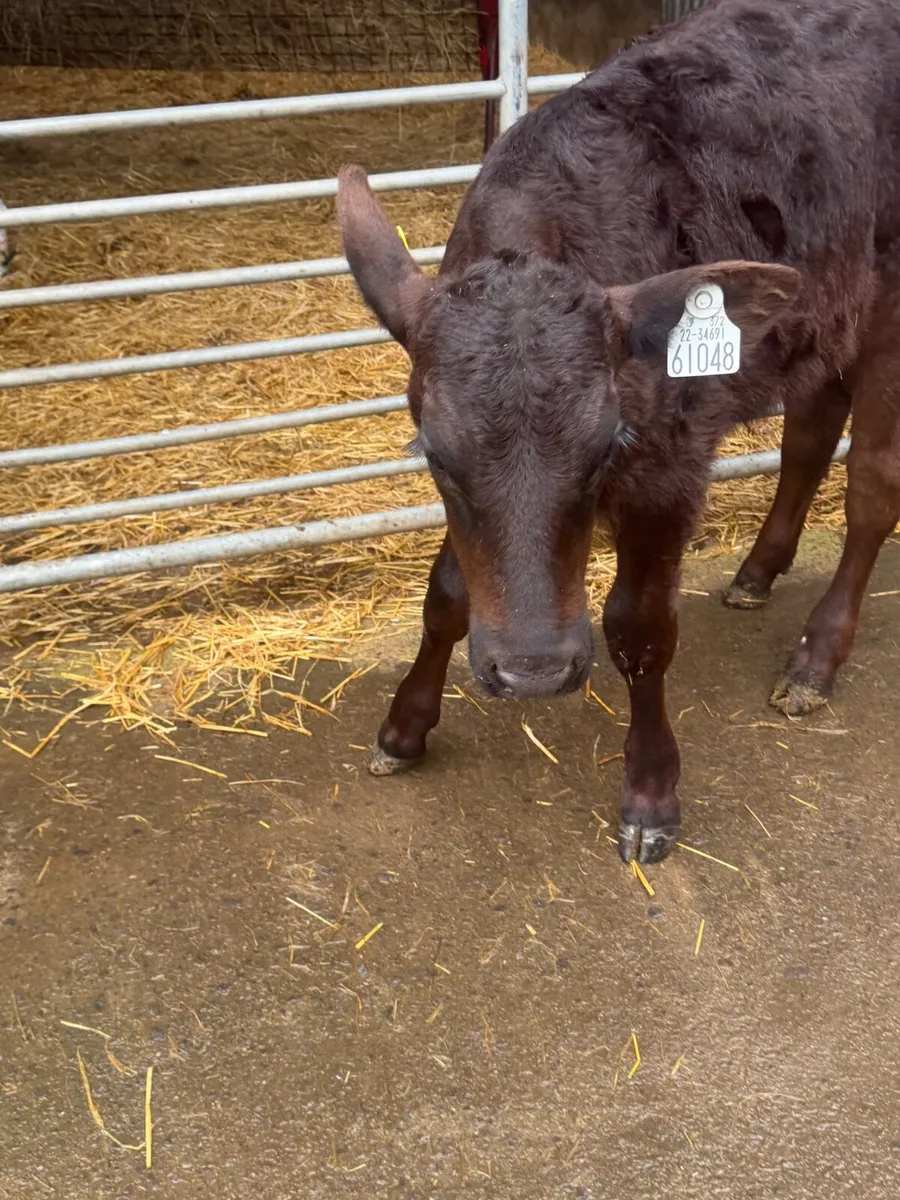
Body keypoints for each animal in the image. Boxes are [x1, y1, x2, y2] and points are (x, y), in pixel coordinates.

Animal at [336, 0, 900, 864]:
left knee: (871, 489)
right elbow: (448, 594)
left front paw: (651, 792)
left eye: (609, 446)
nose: (532, 672)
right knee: (808, 433)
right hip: (825, 310)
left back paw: (816, 656)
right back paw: (758, 571)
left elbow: (639, 627)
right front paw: (405, 725)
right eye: (433, 455)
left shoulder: (670, 468)